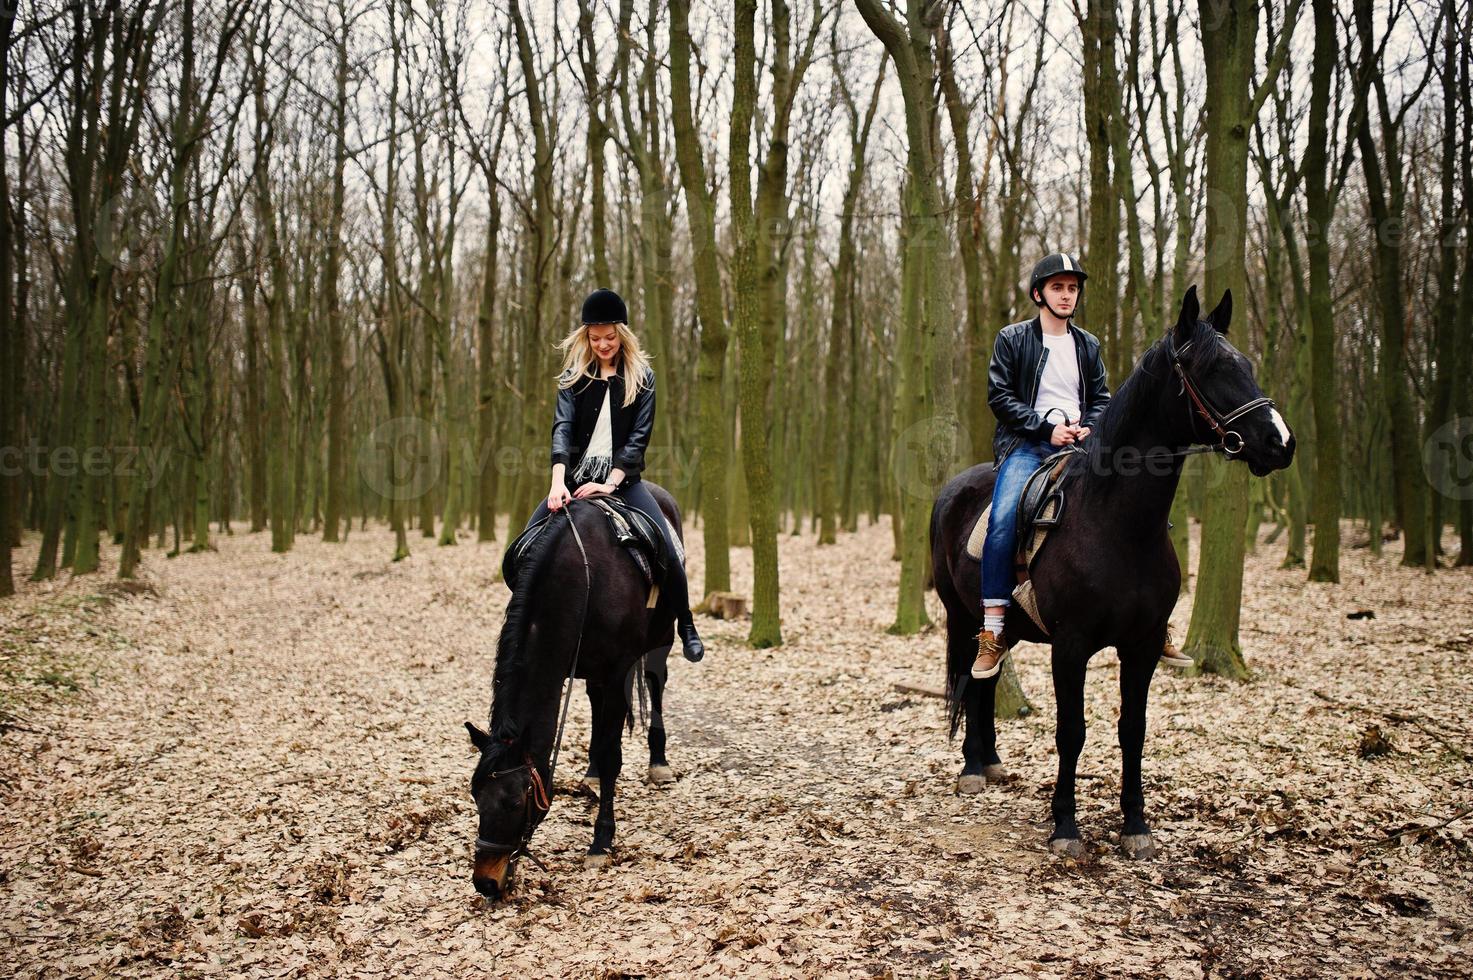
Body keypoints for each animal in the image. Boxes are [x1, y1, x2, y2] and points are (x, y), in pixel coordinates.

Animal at [462, 480, 686, 896]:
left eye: (514, 802)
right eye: (475, 795)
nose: (486, 882)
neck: (582, 577)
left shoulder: (617, 670)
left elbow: (615, 755)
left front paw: (601, 841)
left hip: (660, 640)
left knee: (655, 682)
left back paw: (658, 763)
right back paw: (592, 773)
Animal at [936, 288, 1296, 854]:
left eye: (1247, 366)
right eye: (1212, 369)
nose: (1281, 442)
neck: (1116, 523)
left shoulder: (1142, 646)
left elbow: (1134, 729)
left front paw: (1135, 825)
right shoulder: (1071, 646)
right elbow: (1072, 732)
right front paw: (1065, 826)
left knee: (987, 678)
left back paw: (990, 762)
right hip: (960, 613)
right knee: (974, 679)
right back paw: (972, 768)